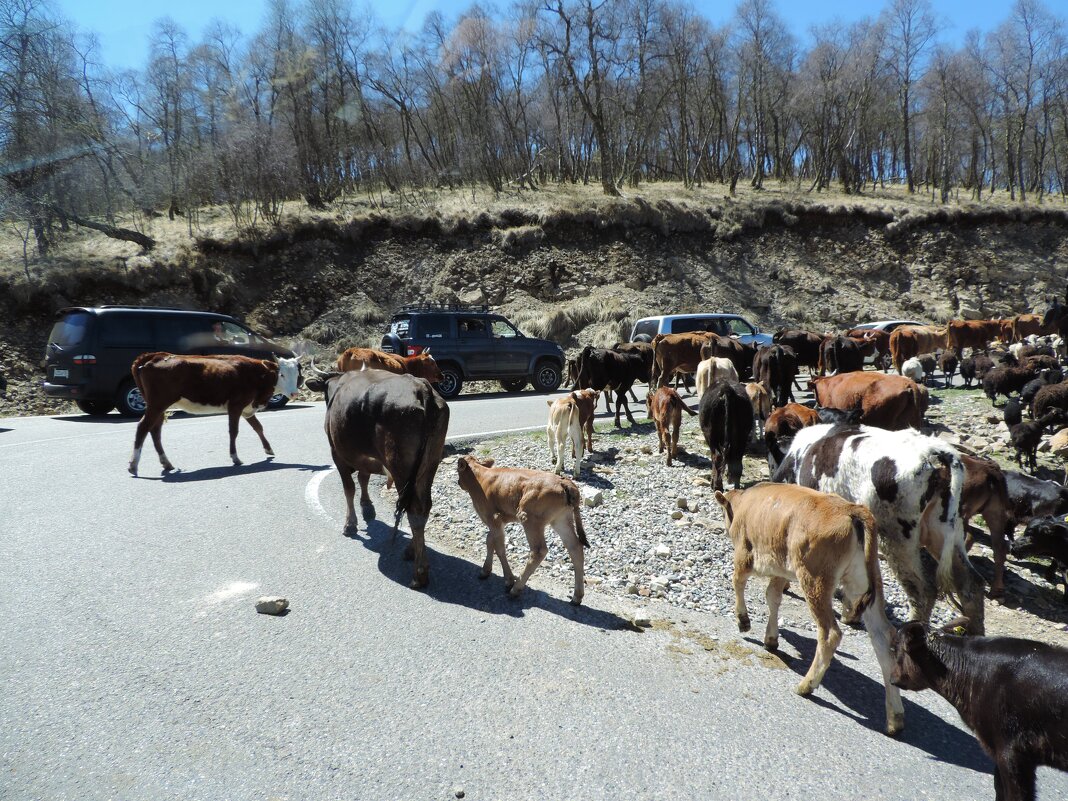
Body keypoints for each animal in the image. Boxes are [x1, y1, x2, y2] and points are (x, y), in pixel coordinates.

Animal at [130, 352, 305, 476]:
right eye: (281, 374)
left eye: (296, 374)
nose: (294, 393)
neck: (256, 375)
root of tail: (154, 356)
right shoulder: (235, 406)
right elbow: (233, 431)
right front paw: (235, 457)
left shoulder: (247, 409)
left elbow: (258, 427)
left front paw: (268, 449)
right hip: (157, 404)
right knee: (143, 427)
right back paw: (133, 465)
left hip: (160, 407)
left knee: (155, 430)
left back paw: (166, 463)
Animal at [457, 454, 593, 606]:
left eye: (458, 470)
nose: (458, 482)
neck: (480, 478)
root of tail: (565, 483)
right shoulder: (495, 522)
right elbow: (489, 541)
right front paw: (485, 571)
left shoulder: (494, 518)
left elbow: (499, 548)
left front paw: (509, 580)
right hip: (561, 519)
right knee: (575, 548)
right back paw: (577, 597)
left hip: (529, 518)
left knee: (539, 551)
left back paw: (516, 589)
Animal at [713, 482, 905, 739]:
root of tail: (853, 510)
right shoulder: (780, 568)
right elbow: (773, 597)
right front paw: (771, 638)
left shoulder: (745, 553)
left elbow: (738, 582)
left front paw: (743, 621)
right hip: (864, 580)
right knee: (883, 637)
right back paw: (895, 718)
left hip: (814, 579)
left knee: (830, 633)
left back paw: (806, 686)